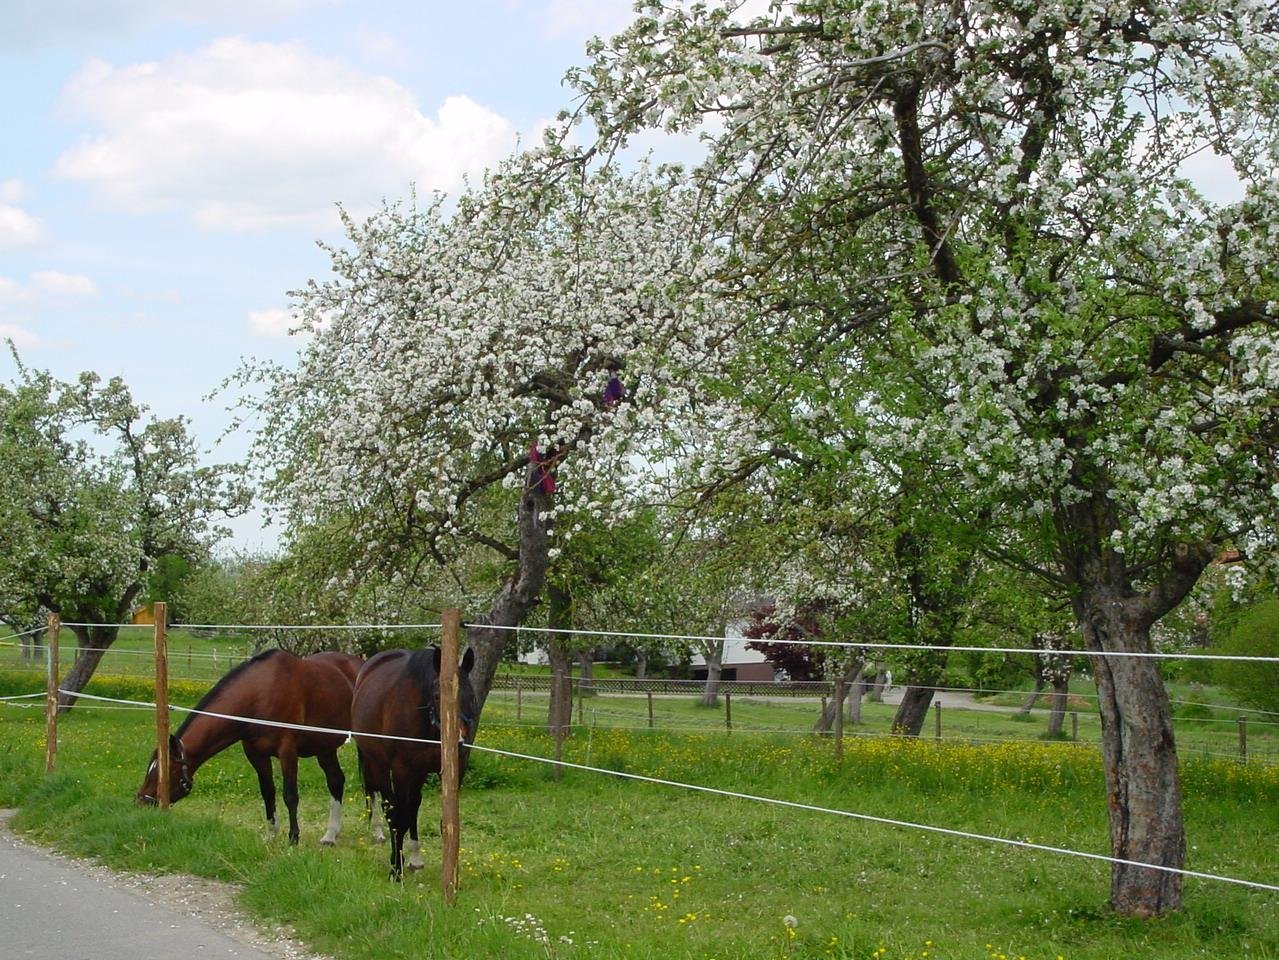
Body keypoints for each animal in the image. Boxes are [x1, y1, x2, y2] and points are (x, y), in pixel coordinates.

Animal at [135, 649, 360, 846]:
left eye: (164, 771)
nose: (140, 803)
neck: (259, 696)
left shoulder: (287, 751)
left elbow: (290, 795)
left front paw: (293, 838)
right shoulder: (256, 754)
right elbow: (268, 793)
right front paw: (271, 835)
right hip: (325, 747)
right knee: (336, 781)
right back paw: (330, 835)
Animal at [351, 645, 477, 880]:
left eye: (472, 696)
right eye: (437, 696)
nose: (459, 742)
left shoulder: (452, 771)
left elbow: (446, 822)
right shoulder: (402, 770)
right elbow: (399, 817)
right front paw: (395, 870)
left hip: (418, 773)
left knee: (413, 806)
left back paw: (415, 858)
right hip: (377, 763)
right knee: (384, 802)